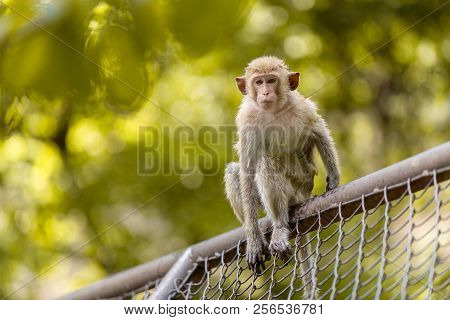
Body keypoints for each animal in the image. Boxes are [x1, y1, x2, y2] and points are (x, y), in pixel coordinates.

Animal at [223, 55, 340, 300]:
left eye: (271, 80)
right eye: (258, 82)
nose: (266, 92)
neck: (272, 111)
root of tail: (302, 195)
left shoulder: (301, 106)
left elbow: (318, 130)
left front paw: (334, 178)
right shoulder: (247, 117)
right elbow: (246, 169)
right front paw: (254, 240)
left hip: (300, 181)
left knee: (267, 160)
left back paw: (278, 227)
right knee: (237, 171)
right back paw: (265, 228)